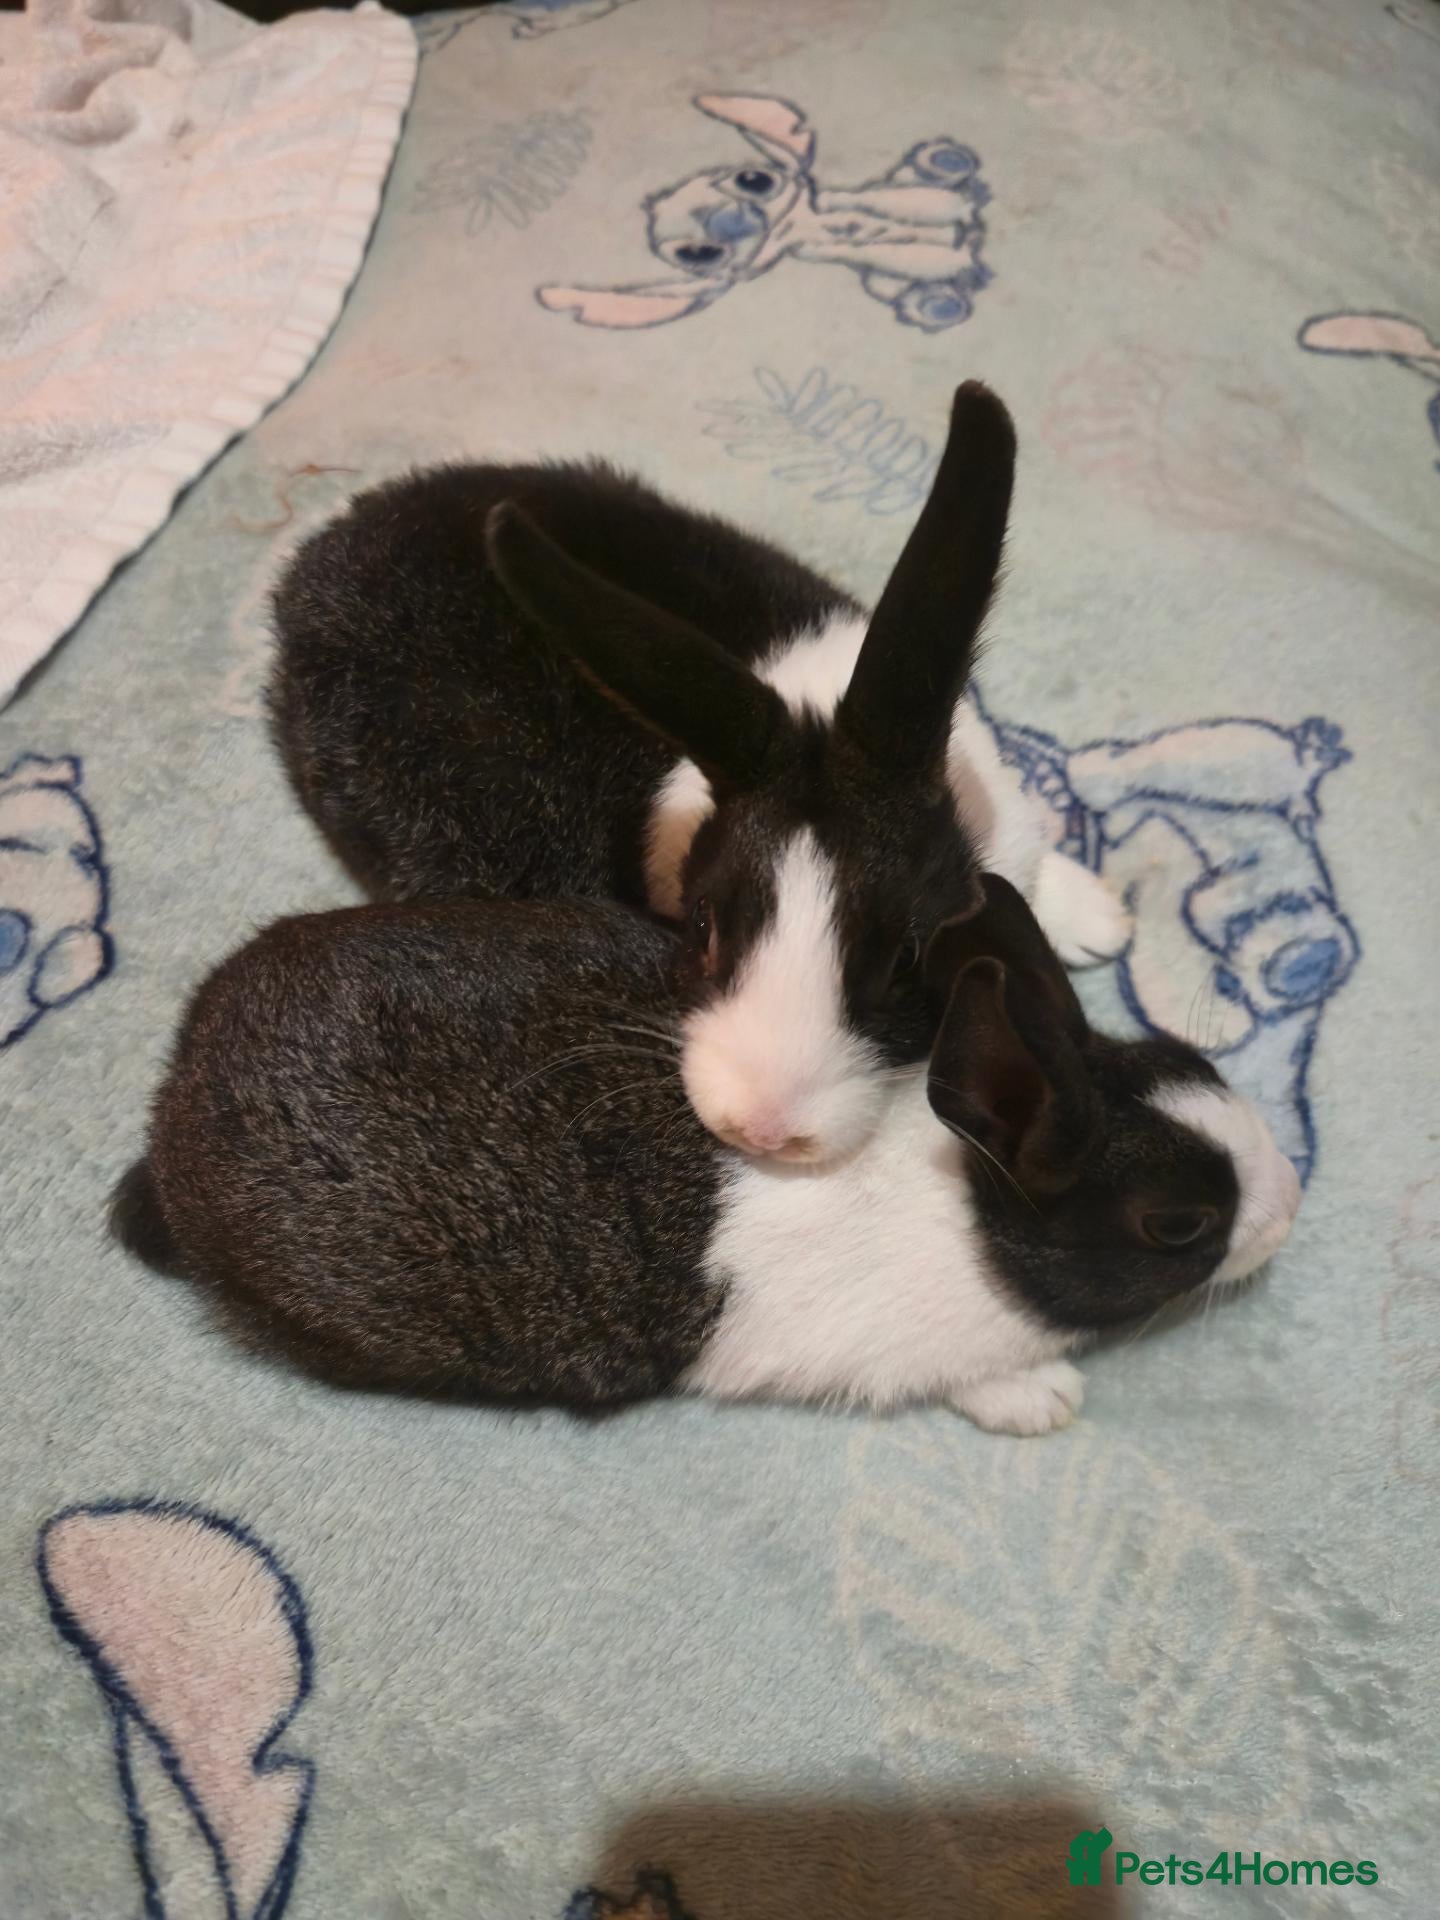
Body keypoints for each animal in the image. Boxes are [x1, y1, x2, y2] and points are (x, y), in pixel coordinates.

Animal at [111, 876, 1300, 1434]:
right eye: (1178, 1225)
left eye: (1190, 1056)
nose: (1291, 1204)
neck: (974, 1205)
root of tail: (174, 1112)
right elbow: (972, 1378)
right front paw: (1044, 1401)